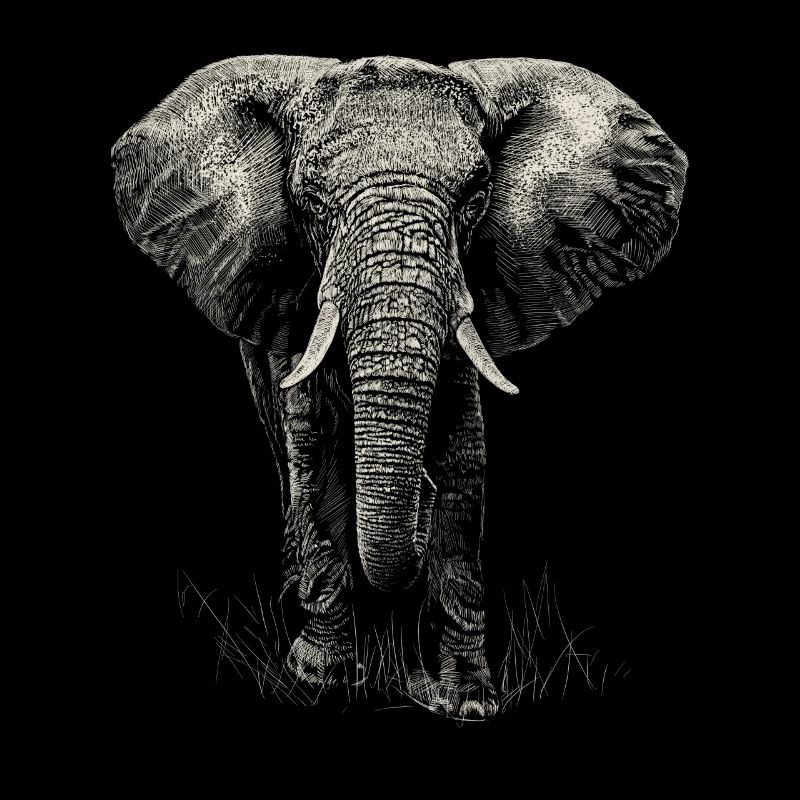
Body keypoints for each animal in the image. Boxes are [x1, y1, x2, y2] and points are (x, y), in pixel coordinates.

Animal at [112, 55, 687, 719]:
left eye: (476, 199)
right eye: (309, 204)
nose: (419, 500)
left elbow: (465, 456)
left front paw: (466, 700)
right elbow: (313, 443)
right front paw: (321, 680)